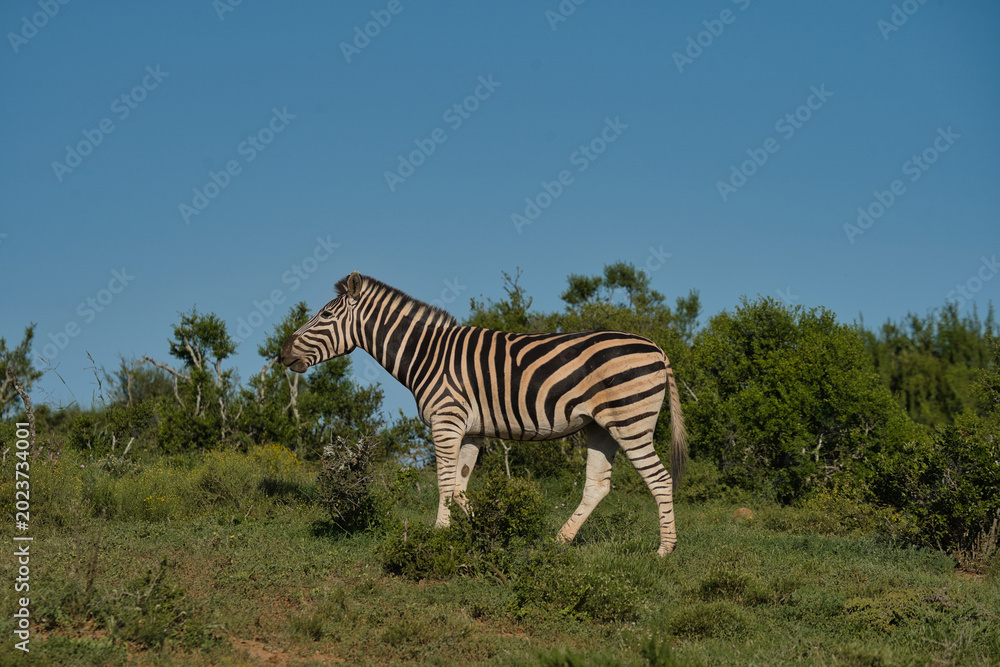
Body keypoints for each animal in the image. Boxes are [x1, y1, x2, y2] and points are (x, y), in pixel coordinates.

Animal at [279, 271, 688, 555]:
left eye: (325, 315)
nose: (282, 353)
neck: (428, 354)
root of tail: (657, 347)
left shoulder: (446, 422)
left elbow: (444, 484)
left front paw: (439, 536)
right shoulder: (471, 430)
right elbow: (459, 486)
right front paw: (486, 529)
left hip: (629, 421)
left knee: (660, 479)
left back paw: (664, 550)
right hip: (601, 427)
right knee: (597, 486)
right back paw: (560, 540)